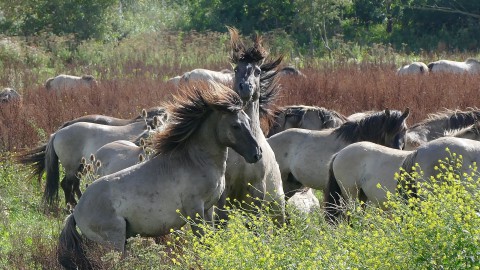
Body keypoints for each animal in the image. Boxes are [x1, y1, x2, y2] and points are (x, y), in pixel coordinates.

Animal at [16, 120, 148, 207]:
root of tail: (56, 134)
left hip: (80, 167)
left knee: (72, 185)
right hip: (72, 167)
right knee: (68, 184)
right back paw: (72, 206)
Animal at [213, 26, 284, 225]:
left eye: (258, 71)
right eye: (237, 68)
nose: (245, 87)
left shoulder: (256, 191)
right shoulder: (225, 191)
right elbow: (222, 220)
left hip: (277, 210)